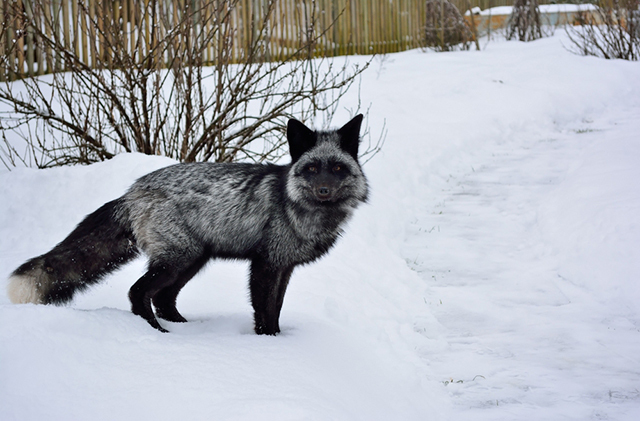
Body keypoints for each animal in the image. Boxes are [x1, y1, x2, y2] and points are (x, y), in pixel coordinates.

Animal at [6, 113, 370, 334]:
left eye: (337, 169)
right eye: (312, 169)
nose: (324, 190)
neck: (299, 210)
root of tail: (132, 191)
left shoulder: (284, 266)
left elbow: (276, 309)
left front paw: (279, 339)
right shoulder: (265, 265)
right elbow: (264, 310)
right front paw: (267, 343)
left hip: (192, 260)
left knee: (164, 299)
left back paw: (185, 327)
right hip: (178, 258)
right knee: (138, 292)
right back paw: (157, 333)